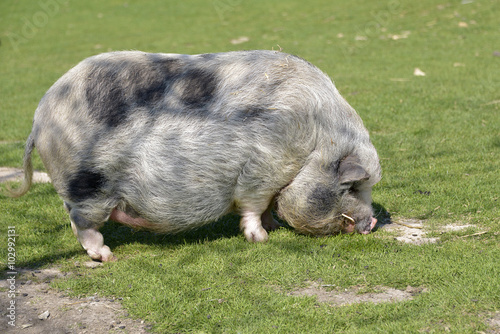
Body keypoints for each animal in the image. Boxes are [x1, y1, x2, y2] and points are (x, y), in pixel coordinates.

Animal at [9, 49, 380, 260]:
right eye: (352, 186)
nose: (373, 222)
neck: (315, 143)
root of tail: (40, 119)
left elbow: (268, 207)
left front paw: (273, 227)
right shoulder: (261, 168)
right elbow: (253, 206)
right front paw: (260, 238)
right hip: (88, 185)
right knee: (81, 222)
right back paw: (106, 256)